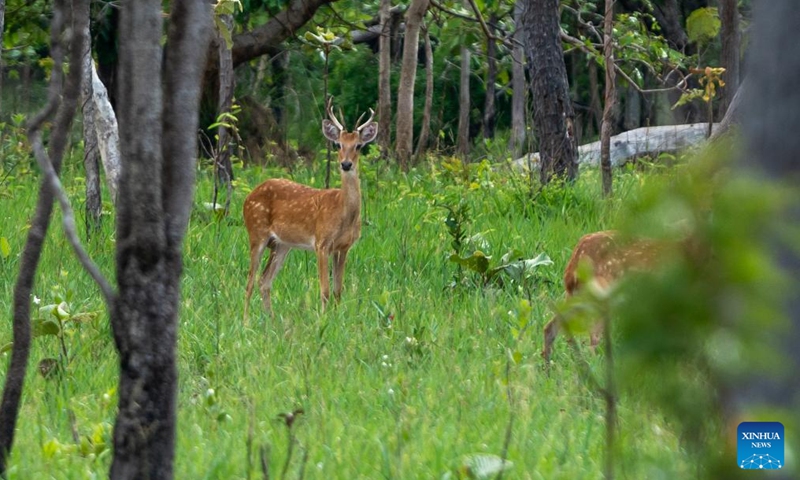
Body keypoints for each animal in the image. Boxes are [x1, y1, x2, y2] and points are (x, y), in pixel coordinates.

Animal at [244, 99, 378, 320]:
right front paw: (322, 320)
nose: (346, 164)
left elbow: (338, 290)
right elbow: (324, 290)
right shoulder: (321, 243)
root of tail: (248, 197)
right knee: (249, 282)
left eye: (358, 145)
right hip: (256, 232)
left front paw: (336, 319)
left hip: (282, 244)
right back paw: (246, 322)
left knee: (264, 281)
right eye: (338, 144)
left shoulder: (343, 247)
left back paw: (271, 320)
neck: (344, 214)